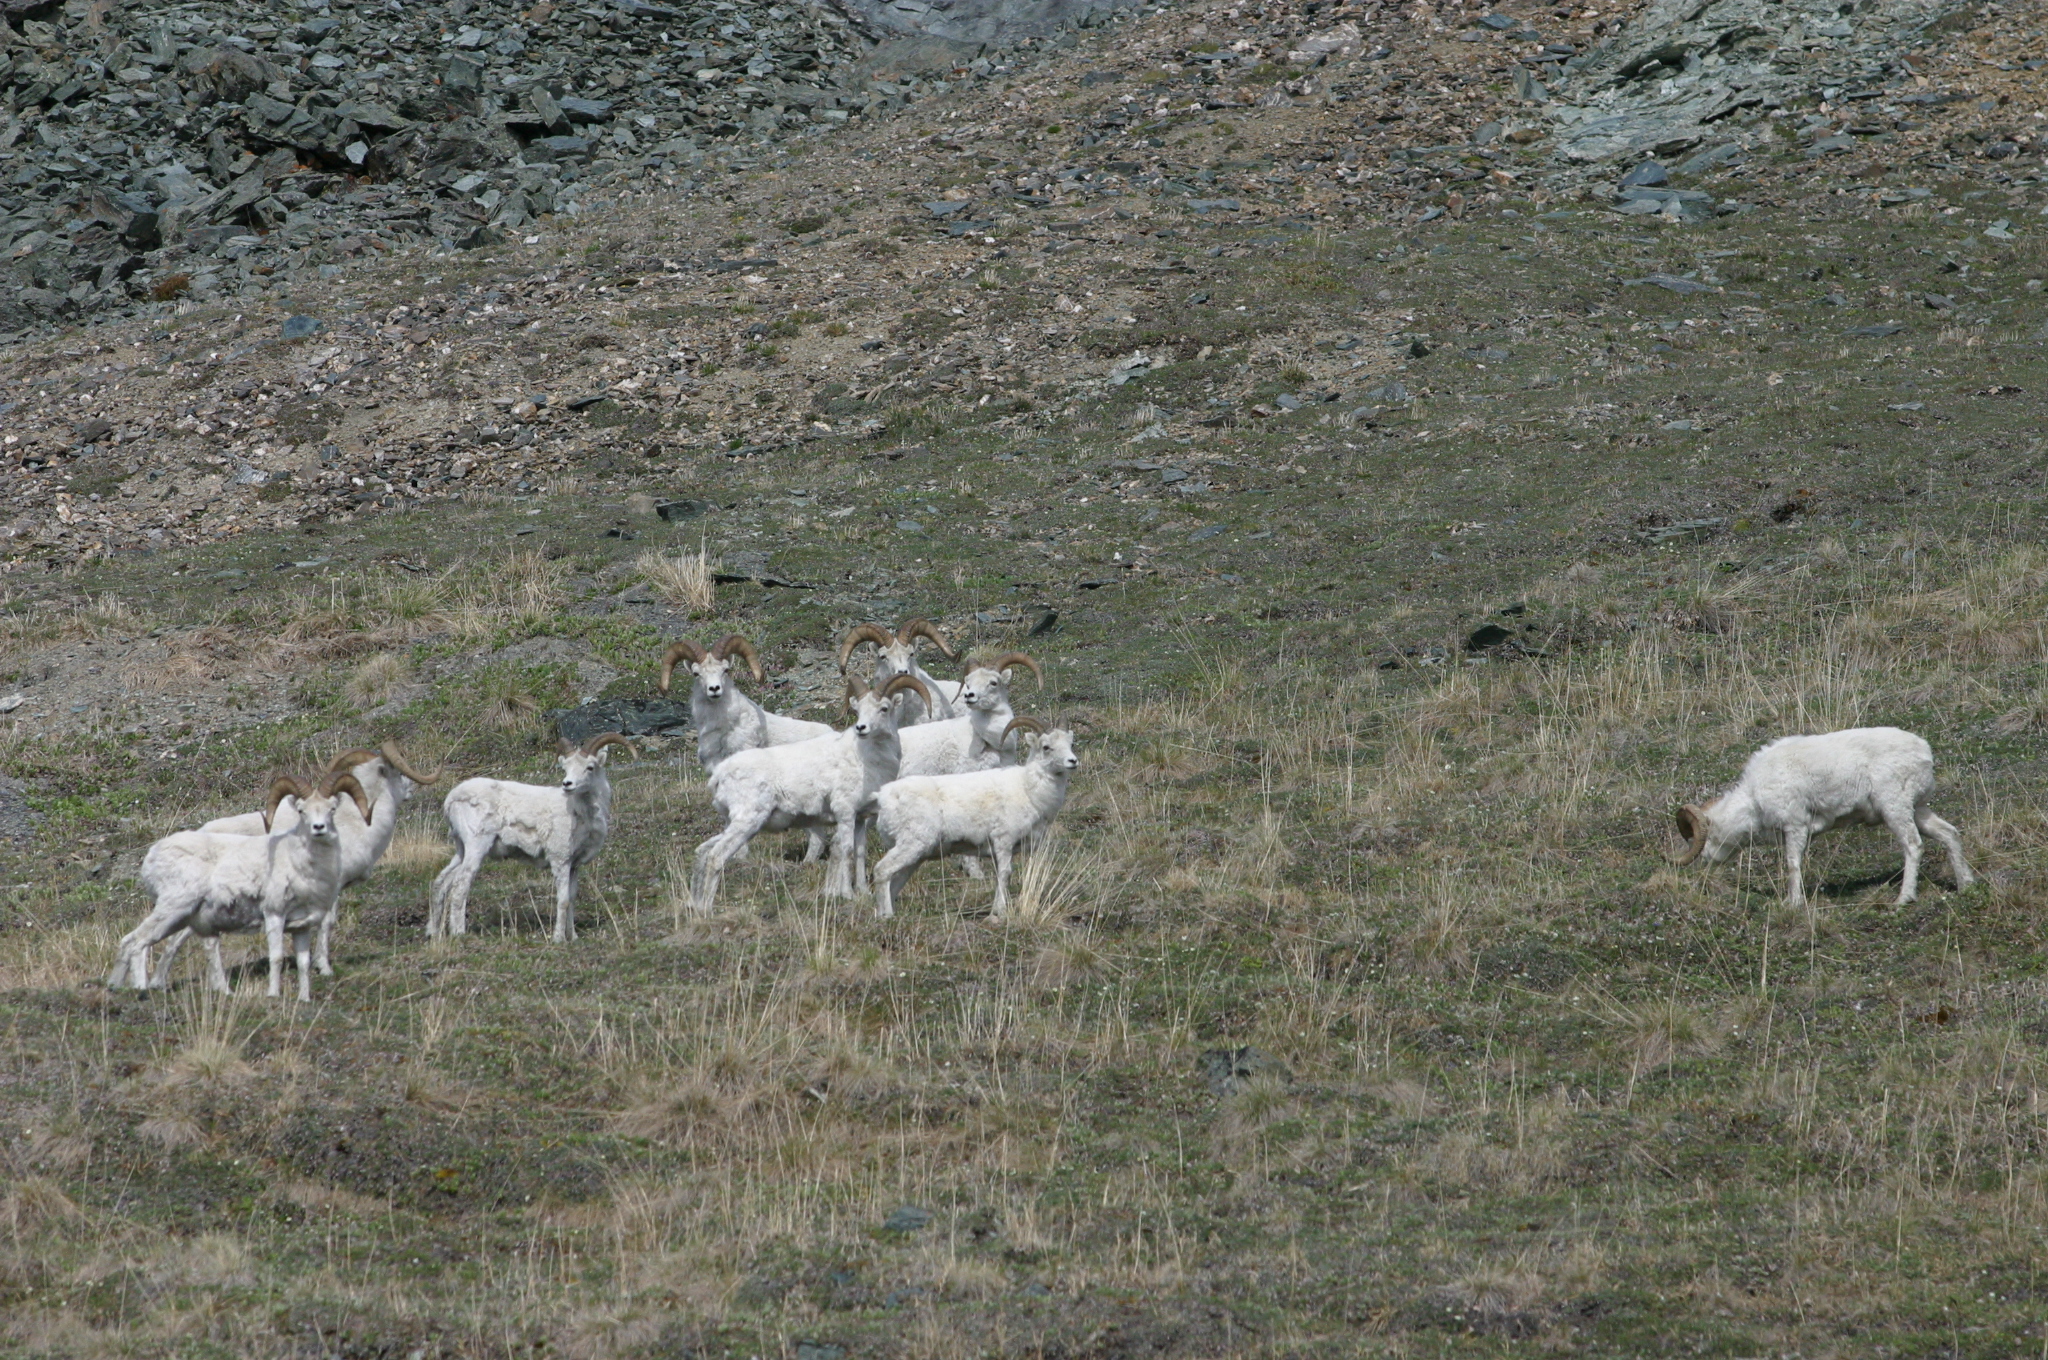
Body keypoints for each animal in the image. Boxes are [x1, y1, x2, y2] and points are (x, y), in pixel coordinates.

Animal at [108, 772, 372, 1000]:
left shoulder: (301, 927)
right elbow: (276, 957)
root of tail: (152, 855)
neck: (301, 864)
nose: (319, 828)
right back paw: (141, 990)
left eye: (332, 809)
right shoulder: (274, 915)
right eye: (301, 811)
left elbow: (303, 963)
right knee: (137, 942)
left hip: (179, 919)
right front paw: (273, 995)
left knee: (132, 942)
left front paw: (304, 999)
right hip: (172, 909)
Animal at [428, 733, 634, 943]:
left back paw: (434, 933)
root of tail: (452, 798)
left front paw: (573, 937)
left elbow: (572, 898)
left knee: (441, 883)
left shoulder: (574, 865)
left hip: (462, 849)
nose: (567, 784)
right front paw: (559, 939)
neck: (581, 813)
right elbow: (563, 900)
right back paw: (459, 933)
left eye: (590, 767)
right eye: (566, 767)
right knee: (460, 885)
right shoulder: (560, 861)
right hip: (476, 846)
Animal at [689, 673, 931, 915]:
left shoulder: (860, 819)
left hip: (738, 824)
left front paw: (863, 893)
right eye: (858, 709)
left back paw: (696, 905)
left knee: (703, 852)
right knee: (715, 857)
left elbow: (860, 853)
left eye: (884, 708)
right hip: (746, 822)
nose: (861, 728)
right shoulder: (845, 814)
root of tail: (719, 774)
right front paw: (847, 894)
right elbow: (846, 851)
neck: (867, 760)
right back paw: (707, 909)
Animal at [870, 718, 1080, 921]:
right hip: (910, 845)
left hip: (915, 856)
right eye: (1046, 747)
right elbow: (1005, 874)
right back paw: (886, 916)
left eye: (1070, 743)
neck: (1027, 789)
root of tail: (882, 796)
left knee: (895, 881)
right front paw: (999, 912)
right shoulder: (1003, 842)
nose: (1073, 761)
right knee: (882, 870)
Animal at [1670, 726, 1974, 907]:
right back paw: (1965, 886)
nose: (1705, 861)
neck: (1755, 798)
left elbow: (1792, 865)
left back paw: (1903, 899)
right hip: (1919, 809)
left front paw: (1793, 903)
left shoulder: (1795, 826)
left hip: (1895, 809)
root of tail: (1924, 752)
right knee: (1949, 834)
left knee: (1913, 845)